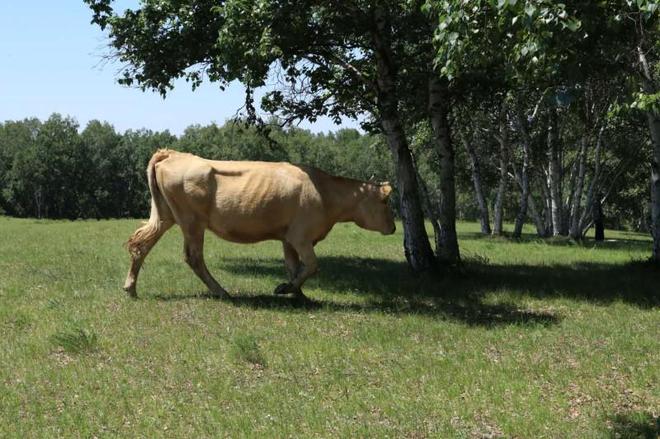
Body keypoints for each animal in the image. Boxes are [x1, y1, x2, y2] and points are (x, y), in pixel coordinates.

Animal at [122, 150, 398, 300]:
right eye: (386, 202)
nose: (394, 228)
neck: (326, 193)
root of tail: (173, 153)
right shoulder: (301, 236)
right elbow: (311, 265)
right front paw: (286, 289)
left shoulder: (288, 238)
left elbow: (294, 267)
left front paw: (298, 294)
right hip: (191, 222)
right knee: (194, 257)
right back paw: (221, 291)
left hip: (165, 215)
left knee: (141, 244)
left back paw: (131, 288)